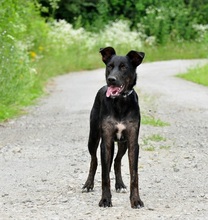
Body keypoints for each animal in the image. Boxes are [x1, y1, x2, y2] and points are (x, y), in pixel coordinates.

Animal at [82, 46, 145, 208]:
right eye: (109, 66)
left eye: (124, 67)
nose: (111, 79)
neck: (120, 102)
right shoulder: (106, 142)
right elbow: (105, 174)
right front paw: (105, 199)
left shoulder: (132, 142)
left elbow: (134, 175)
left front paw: (136, 200)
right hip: (93, 137)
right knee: (94, 160)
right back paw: (88, 185)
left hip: (123, 144)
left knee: (116, 161)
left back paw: (120, 185)